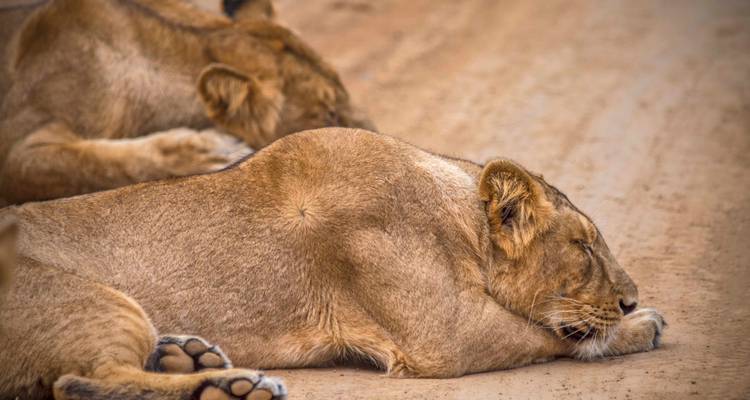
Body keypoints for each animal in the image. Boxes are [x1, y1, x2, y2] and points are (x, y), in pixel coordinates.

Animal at [0, 128, 665, 399]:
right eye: (584, 246)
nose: (630, 297)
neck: (457, 219)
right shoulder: (444, 336)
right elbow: (556, 336)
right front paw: (642, 324)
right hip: (103, 301)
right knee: (79, 380)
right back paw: (230, 388)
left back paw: (187, 355)